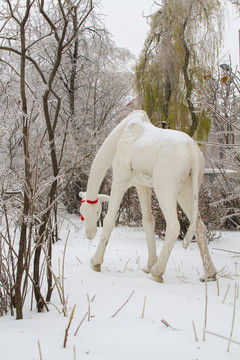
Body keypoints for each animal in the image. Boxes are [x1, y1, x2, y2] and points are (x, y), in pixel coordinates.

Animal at [79, 109, 217, 282]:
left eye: (95, 211)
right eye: (82, 212)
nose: (89, 234)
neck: (120, 136)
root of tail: (192, 152)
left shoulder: (120, 179)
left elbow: (109, 220)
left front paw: (95, 262)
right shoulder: (142, 185)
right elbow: (148, 221)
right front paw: (148, 265)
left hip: (165, 187)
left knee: (174, 225)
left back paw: (157, 272)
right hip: (186, 190)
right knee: (199, 225)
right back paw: (209, 273)